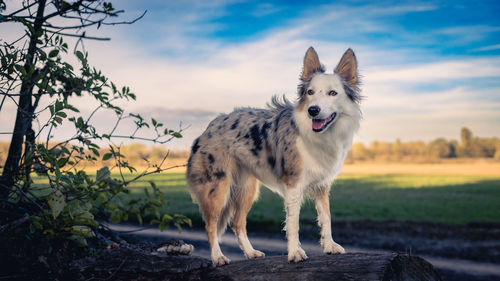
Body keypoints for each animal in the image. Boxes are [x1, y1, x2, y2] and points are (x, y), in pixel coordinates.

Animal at [186, 47, 362, 264]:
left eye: (333, 93)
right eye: (310, 92)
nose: (313, 110)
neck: (319, 135)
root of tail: (209, 127)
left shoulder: (322, 185)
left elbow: (326, 218)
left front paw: (329, 246)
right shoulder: (293, 186)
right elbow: (293, 224)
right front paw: (295, 253)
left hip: (247, 189)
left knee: (237, 223)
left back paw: (251, 252)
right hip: (217, 189)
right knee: (211, 226)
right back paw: (218, 257)